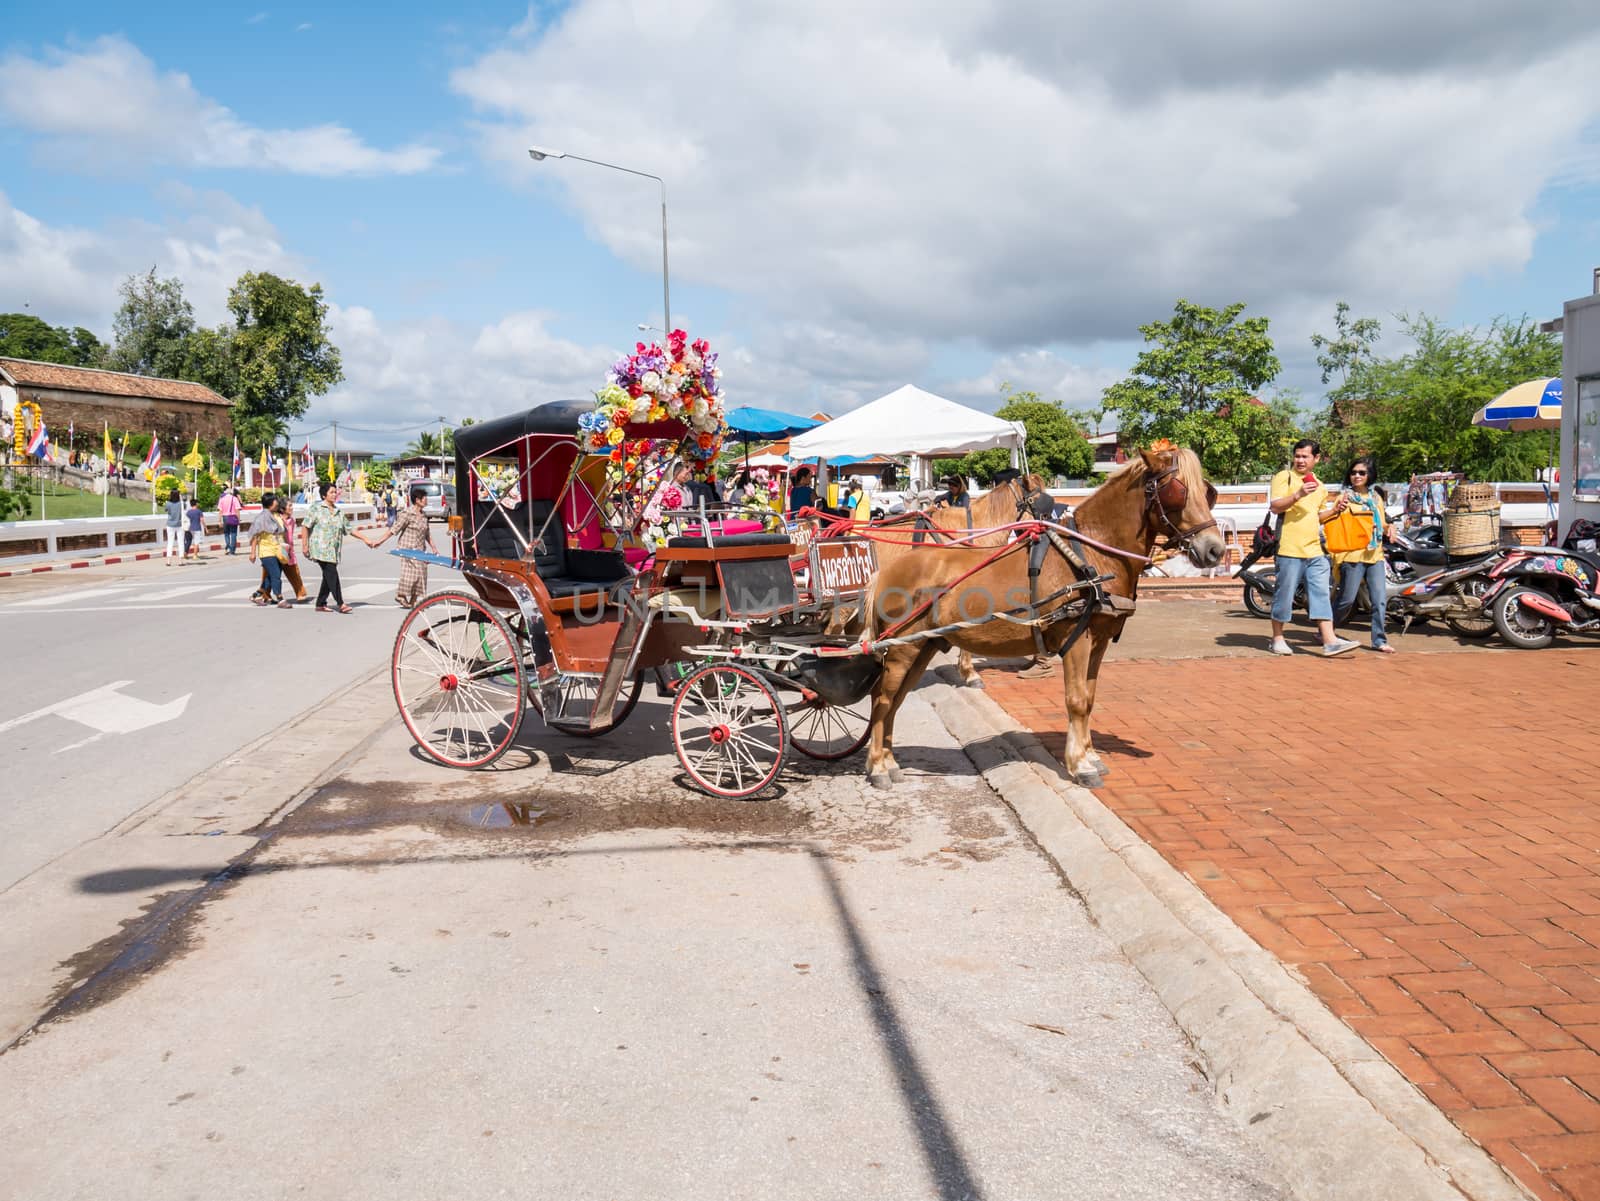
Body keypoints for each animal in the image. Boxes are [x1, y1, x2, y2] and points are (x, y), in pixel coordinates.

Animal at [864, 447, 1222, 790]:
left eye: (1208, 492)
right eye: (1178, 490)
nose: (1215, 549)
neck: (1090, 556)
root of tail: (885, 572)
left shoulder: (1099, 642)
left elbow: (1090, 698)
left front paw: (1091, 755)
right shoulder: (1076, 640)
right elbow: (1077, 700)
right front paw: (1080, 765)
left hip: (922, 647)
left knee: (895, 699)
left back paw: (889, 760)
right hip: (903, 650)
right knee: (882, 698)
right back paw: (878, 766)